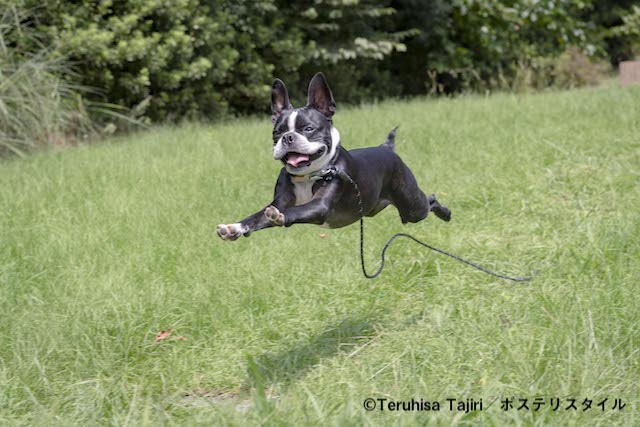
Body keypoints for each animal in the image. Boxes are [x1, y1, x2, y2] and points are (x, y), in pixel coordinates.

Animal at [215, 72, 450, 242]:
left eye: (308, 129)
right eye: (276, 133)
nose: (288, 137)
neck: (307, 176)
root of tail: (386, 148)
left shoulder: (319, 206)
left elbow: (292, 211)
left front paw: (279, 216)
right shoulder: (279, 200)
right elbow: (257, 216)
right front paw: (234, 228)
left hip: (411, 206)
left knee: (429, 201)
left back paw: (445, 213)